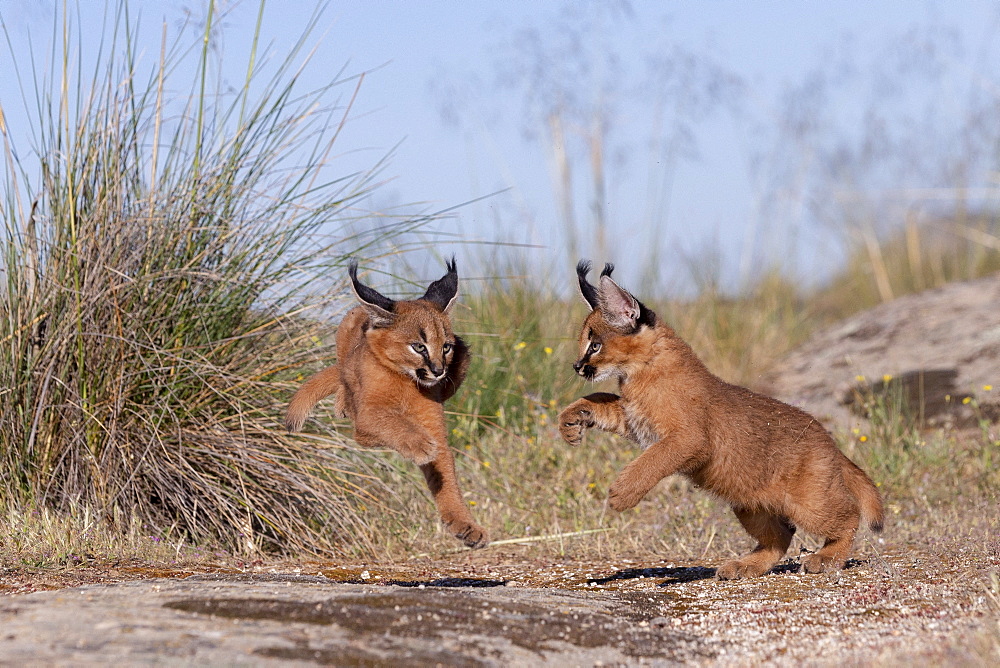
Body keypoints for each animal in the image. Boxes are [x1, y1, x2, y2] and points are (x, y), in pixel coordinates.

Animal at [286, 260, 488, 548]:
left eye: (446, 347)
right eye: (419, 347)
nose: (438, 371)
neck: (405, 382)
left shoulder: (434, 426)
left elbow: (447, 479)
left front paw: (466, 525)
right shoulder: (365, 422)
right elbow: (390, 421)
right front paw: (419, 444)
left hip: (464, 356)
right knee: (343, 374)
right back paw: (342, 402)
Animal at [560, 260, 888, 580]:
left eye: (595, 345)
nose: (576, 366)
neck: (641, 372)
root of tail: (828, 440)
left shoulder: (688, 438)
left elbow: (654, 459)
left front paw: (623, 493)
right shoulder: (635, 420)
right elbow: (601, 399)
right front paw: (571, 420)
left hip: (809, 500)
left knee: (847, 516)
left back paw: (826, 558)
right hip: (749, 503)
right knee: (782, 534)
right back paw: (746, 566)